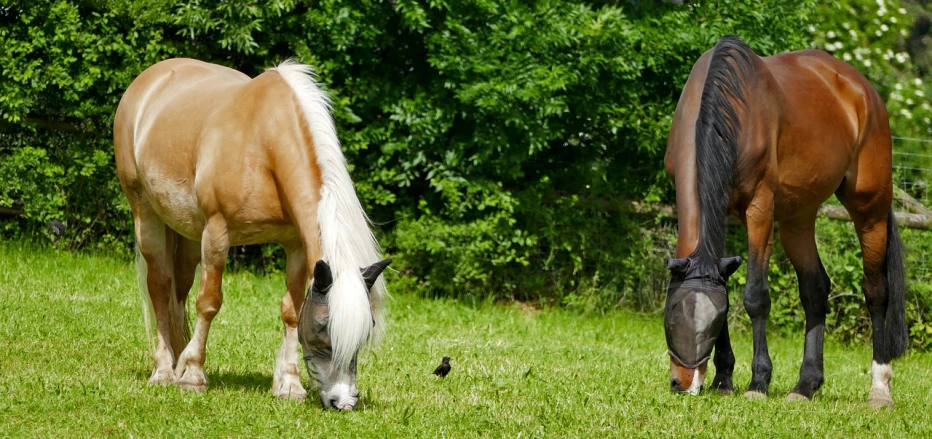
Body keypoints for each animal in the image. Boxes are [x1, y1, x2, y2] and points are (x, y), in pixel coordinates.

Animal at [113, 59, 390, 412]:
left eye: (366, 331)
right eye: (323, 326)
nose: (343, 401)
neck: (266, 146)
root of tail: (149, 79)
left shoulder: (296, 246)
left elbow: (290, 310)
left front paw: (289, 385)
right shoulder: (217, 233)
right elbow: (209, 303)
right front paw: (193, 377)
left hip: (186, 233)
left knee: (179, 289)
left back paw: (177, 361)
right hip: (146, 213)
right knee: (160, 287)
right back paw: (164, 370)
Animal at [664, 36, 912, 408]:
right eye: (673, 316)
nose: (683, 383)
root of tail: (862, 89)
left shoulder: (760, 210)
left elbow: (755, 296)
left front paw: (757, 382)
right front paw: (724, 379)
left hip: (870, 209)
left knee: (876, 291)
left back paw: (879, 390)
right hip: (799, 217)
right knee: (815, 289)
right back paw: (805, 385)